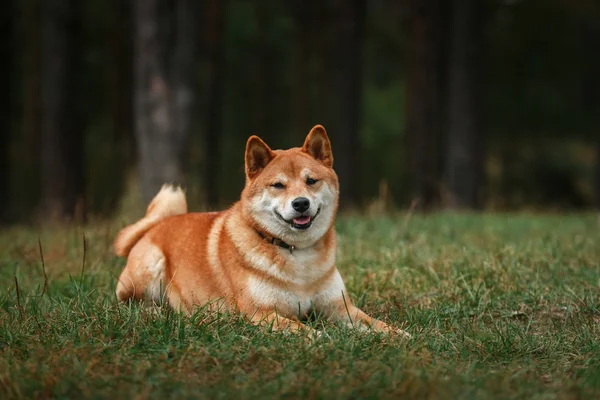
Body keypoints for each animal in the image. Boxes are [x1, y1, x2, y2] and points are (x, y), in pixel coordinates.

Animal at [113, 125, 408, 338]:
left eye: (311, 181)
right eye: (278, 185)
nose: (301, 203)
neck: (297, 255)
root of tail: (155, 226)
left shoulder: (338, 307)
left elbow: (374, 323)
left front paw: (399, 335)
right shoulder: (260, 312)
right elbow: (300, 328)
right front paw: (320, 338)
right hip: (149, 268)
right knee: (127, 303)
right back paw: (157, 312)